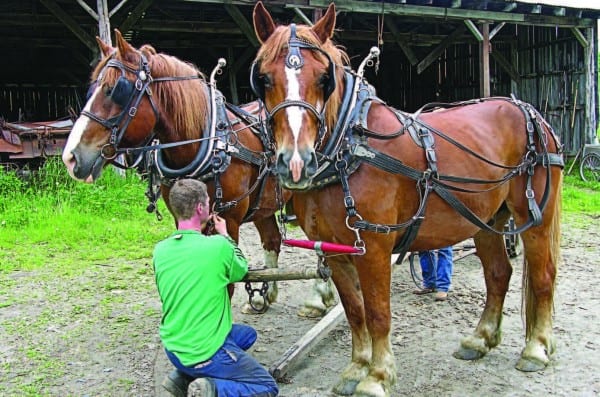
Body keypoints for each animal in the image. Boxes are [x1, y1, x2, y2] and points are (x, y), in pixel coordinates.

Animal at [61, 29, 316, 312]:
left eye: (114, 90)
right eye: (92, 89)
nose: (70, 157)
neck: (209, 143)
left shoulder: (228, 219)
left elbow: (226, 282)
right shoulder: (181, 216)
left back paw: (320, 298)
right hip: (264, 203)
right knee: (272, 240)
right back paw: (265, 295)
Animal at [251, 3, 564, 396]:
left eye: (325, 77)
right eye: (263, 78)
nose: (296, 161)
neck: (350, 147)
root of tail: (533, 114)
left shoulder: (374, 247)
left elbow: (377, 312)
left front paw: (377, 376)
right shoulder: (335, 250)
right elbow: (354, 311)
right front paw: (356, 368)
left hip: (534, 216)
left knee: (543, 276)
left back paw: (536, 348)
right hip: (487, 220)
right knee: (498, 274)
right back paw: (480, 339)